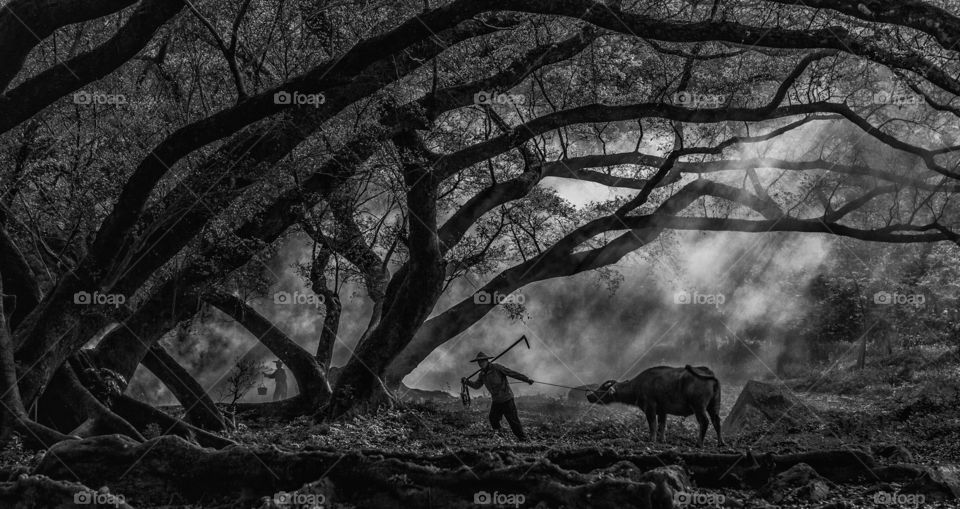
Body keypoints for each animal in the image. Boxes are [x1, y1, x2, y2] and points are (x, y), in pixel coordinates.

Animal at [584, 366, 728, 444]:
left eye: (603, 388)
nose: (589, 396)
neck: (638, 386)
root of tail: (709, 374)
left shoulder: (650, 407)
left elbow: (653, 424)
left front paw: (651, 439)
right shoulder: (663, 411)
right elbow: (662, 426)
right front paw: (661, 440)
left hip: (699, 406)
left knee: (704, 421)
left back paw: (699, 443)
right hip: (714, 405)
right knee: (717, 420)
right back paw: (721, 443)